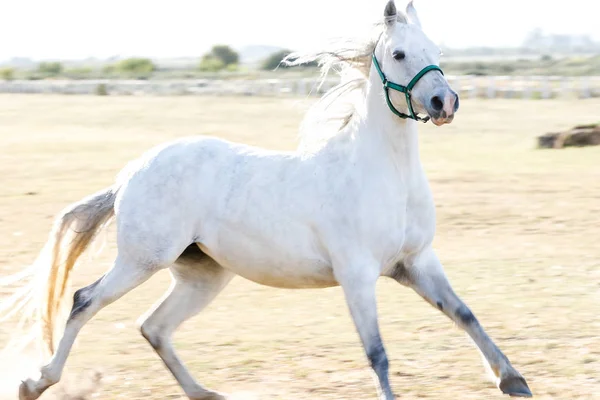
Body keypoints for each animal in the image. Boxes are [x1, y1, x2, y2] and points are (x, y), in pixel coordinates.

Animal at [2, 1, 532, 398]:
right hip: (141, 260)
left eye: (435, 50)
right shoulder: (358, 275)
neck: (383, 175)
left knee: (153, 326)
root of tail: (130, 175)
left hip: (203, 275)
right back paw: (35, 382)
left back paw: (206, 394)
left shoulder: (417, 263)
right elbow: (377, 351)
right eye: (400, 53)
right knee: (84, 301)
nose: (446, 103)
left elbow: (465, 314)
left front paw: (513, 380)